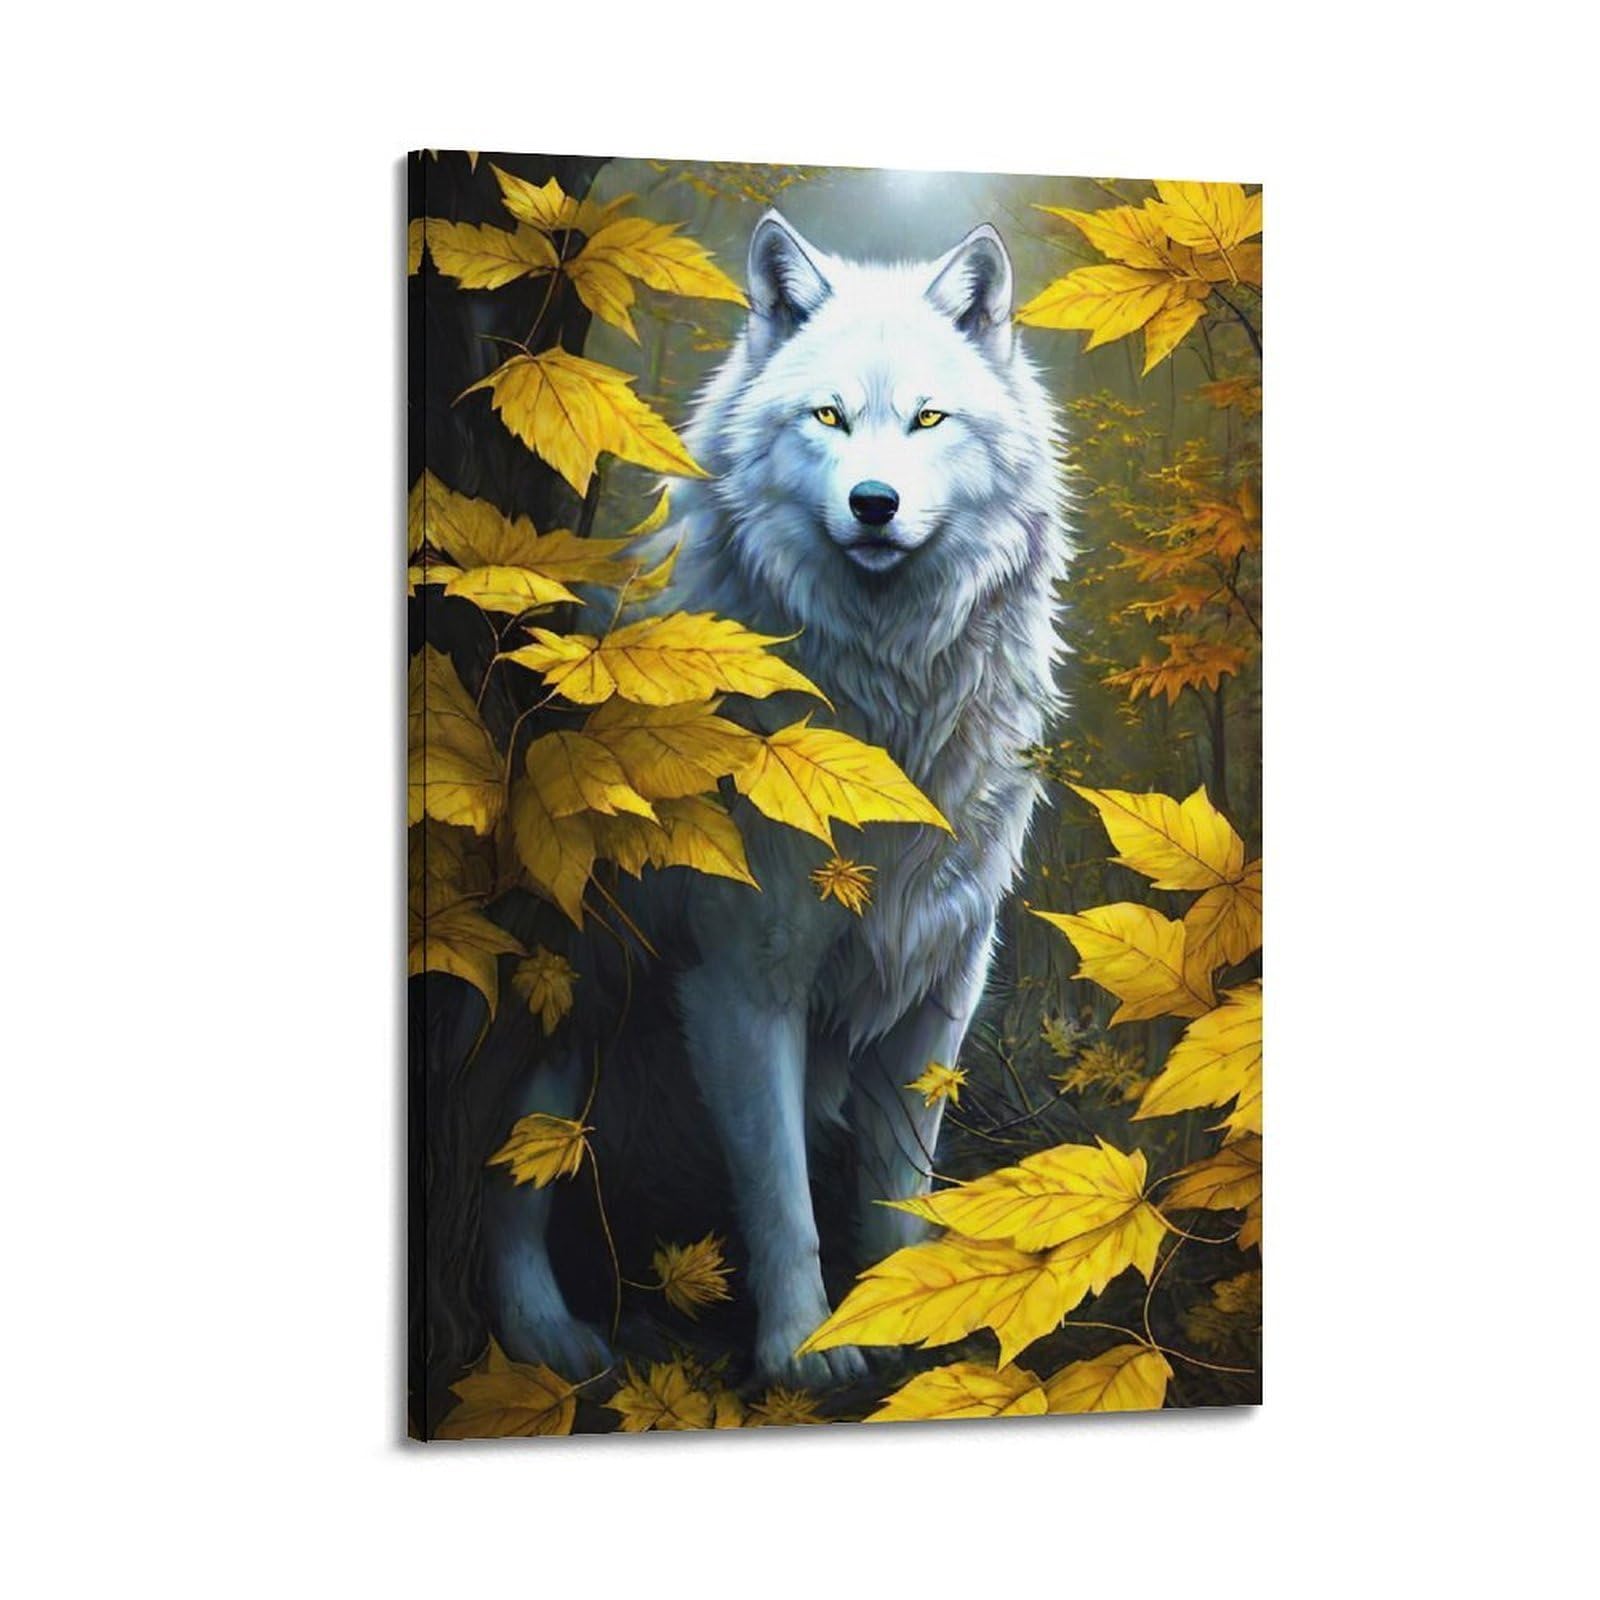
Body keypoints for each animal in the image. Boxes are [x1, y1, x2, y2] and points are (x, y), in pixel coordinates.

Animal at [486, 210, 1068, 1385]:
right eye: (828, 416)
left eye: (927, 417)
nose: (874, 505)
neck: (882, 708)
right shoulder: (741, 981)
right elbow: (779, 1198)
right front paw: (803, 1352)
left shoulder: (941, 974)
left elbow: (900, 1192)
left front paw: (898, 1325)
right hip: (571, 994)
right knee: (510, 1183)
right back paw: (549, 1338)